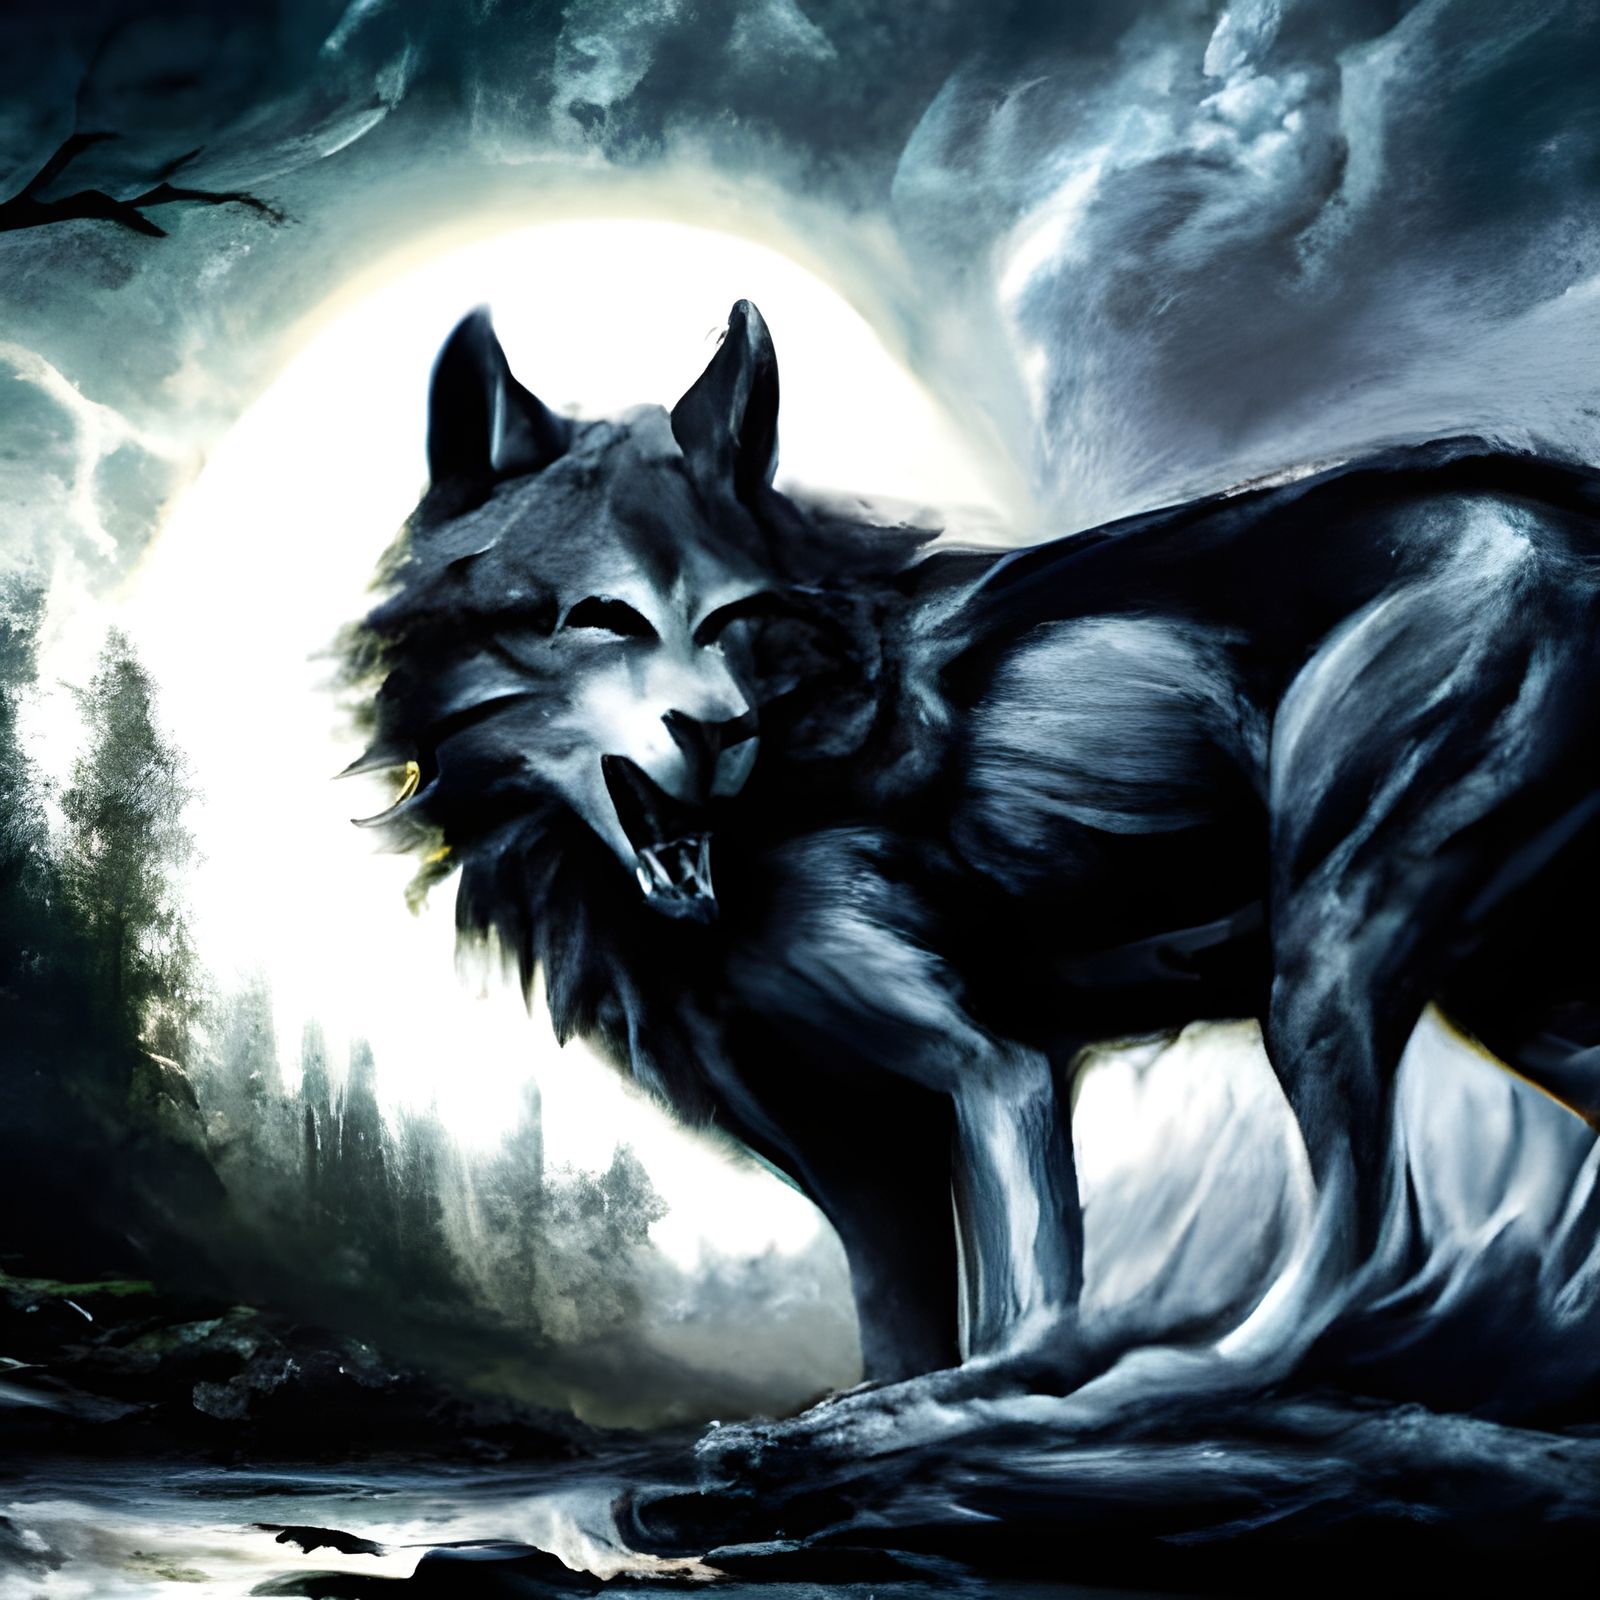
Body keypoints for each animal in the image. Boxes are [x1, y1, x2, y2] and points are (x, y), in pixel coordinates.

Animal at [344, 299, 1600, 1437]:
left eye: (735, 616)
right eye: (601, 618)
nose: (721, 728)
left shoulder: (991, 1065)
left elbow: (1023, 1312)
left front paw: (951, 1403)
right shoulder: (860, 1152)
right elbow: (902, 1320)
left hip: (1321, 963)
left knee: (1374, 1237)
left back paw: (1161, 1382)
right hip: (1515, 1007)